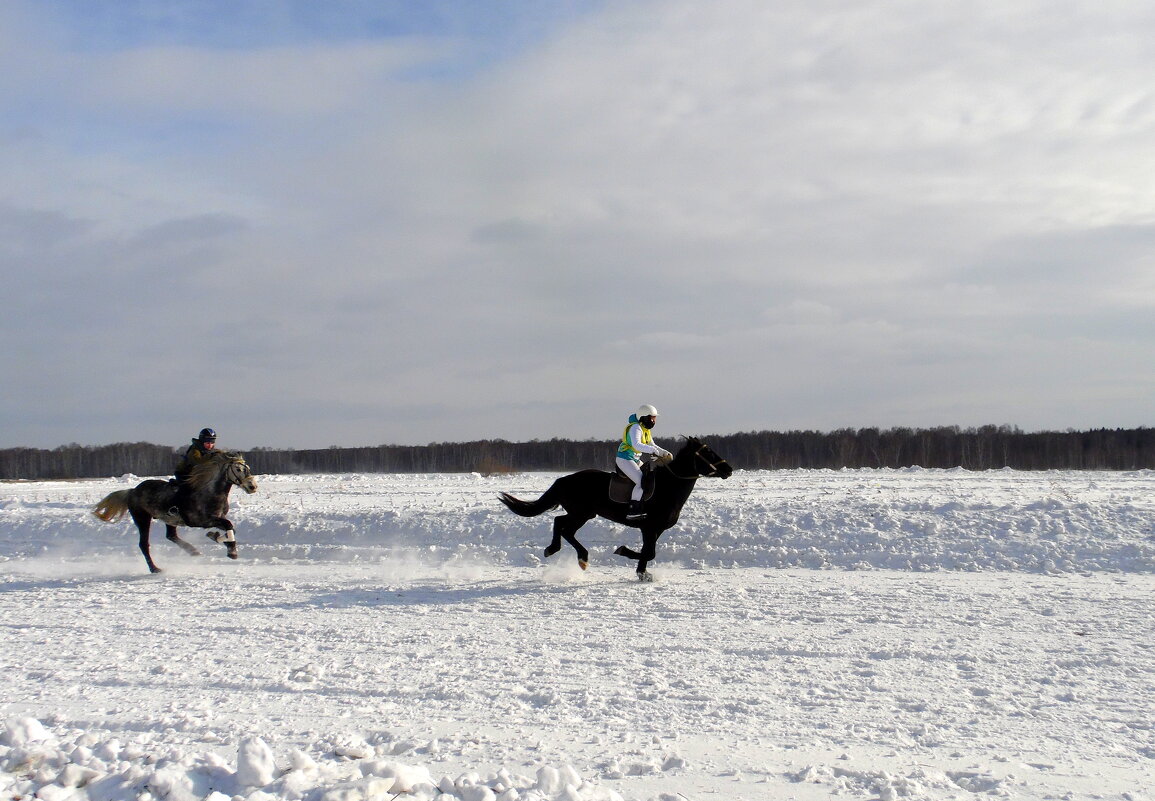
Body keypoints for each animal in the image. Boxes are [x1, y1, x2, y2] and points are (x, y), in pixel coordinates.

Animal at [92, 452, 259, 577]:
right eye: (238, 469)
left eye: (248, 468)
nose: (252, 487)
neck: (211, 492)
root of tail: (132, 491)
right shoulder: (200, 520)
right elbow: (228, 525)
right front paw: (230, 550)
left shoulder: (219, 517)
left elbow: (230, 527)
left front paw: (220, 539)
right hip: (142, 518)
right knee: (144, 544)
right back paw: (155, 569)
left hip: (169, 520)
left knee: (171, 536)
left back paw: (194, 552)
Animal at [496, 438, 729, 584]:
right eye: (707, 452)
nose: (729, 469)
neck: (668, 488)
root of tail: (564, 479)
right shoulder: (649, 527)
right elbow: (649, 552)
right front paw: (623, 552)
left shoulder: (656, 529)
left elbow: (648, 552)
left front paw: (643, 574)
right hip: (581, 513)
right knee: (562, 525)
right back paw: (572, 555)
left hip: (583, 514)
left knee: (561, 524)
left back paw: (564, 552)